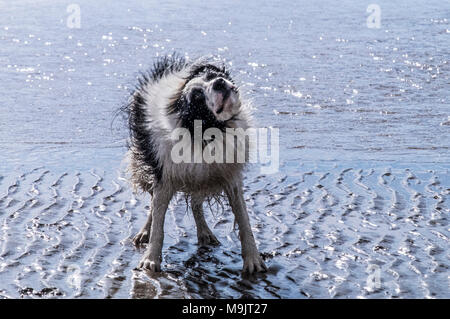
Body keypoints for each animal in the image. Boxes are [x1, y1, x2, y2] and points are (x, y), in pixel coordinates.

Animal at [123, 55, 268, 276]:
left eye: (212, 75)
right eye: (198, 97)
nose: (219, 83)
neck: (209, 131)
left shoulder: (229, 174)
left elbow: (244, 220)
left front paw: (253, 260)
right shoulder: (165, 175)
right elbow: (158, 221)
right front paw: (150, 260)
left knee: (195, 202)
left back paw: (205, 232)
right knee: (154, 202)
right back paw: (145, 232)